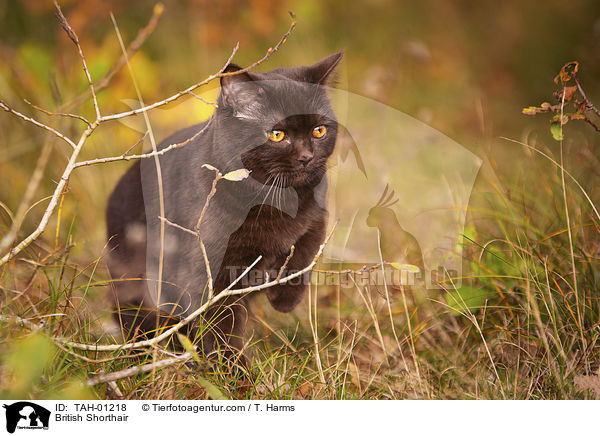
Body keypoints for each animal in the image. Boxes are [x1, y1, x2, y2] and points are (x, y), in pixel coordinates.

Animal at [106, 52, 342, 362]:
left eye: (319, 131)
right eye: (277, 135)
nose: (307, 157)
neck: (270, 201)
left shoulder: (316, 216)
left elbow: (304, 248)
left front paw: (284, 298)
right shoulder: (211, 271)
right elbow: (220, 324)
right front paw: (233, 369)